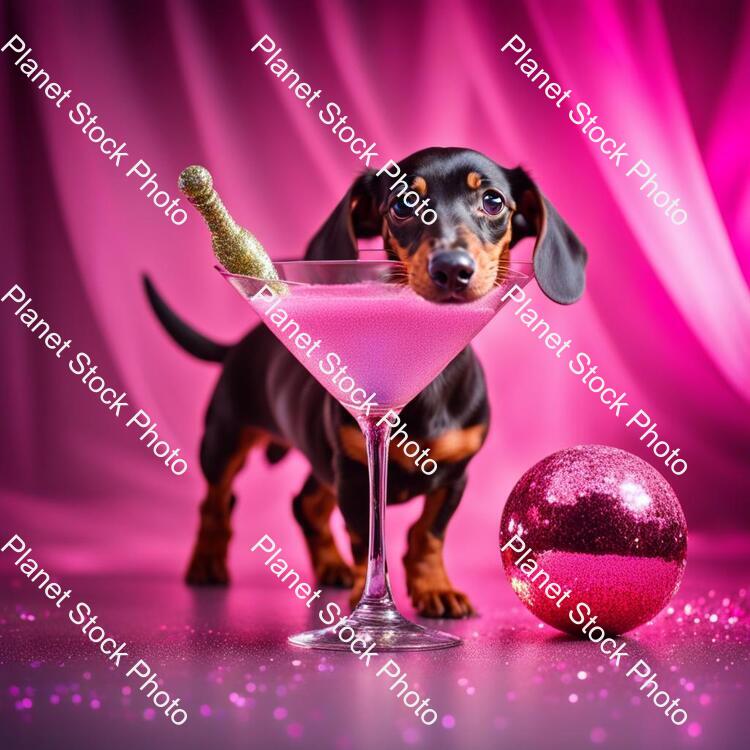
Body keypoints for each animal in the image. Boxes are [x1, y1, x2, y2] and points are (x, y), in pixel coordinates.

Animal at [144, 148, 584, 624]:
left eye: (493, 201)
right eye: (404, 205)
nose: (452, 269)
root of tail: (240, 344)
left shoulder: (455, 476)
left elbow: (428, 534)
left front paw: (434, 589)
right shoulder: (354, 472)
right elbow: (364, 539)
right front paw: (370, 611)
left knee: (305, 505)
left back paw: (329, 566)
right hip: (225, 440)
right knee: (217, 501)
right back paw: (208, 560)